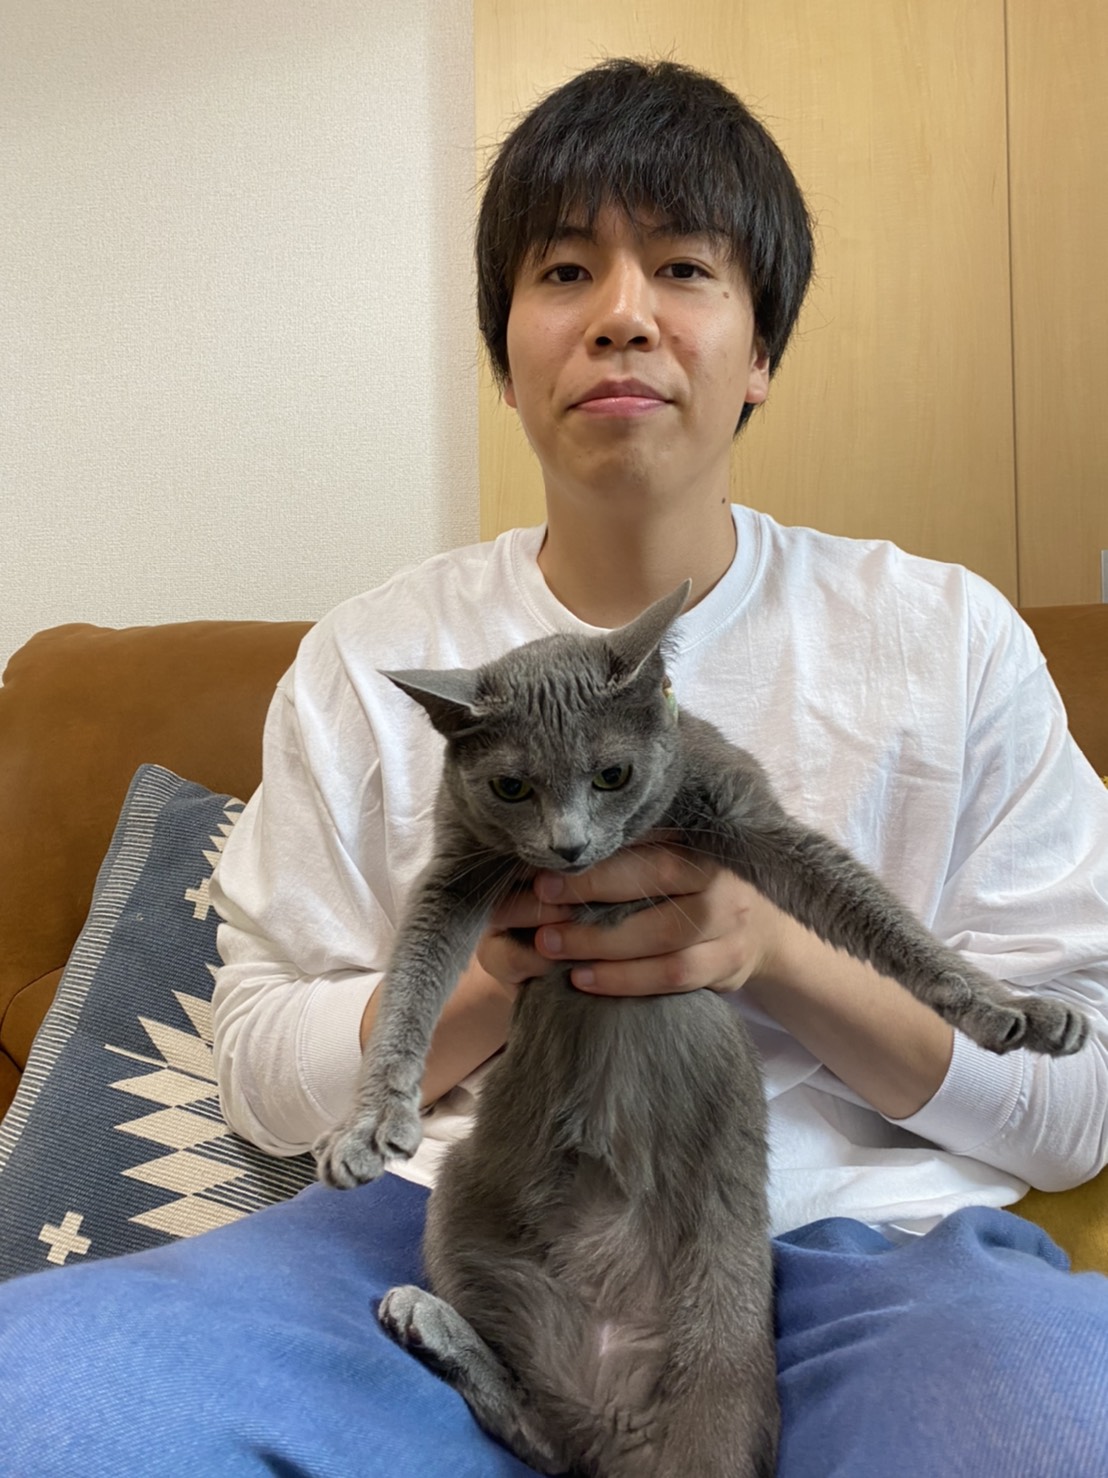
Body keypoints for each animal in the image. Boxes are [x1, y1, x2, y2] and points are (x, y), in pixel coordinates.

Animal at [314, 581, 1088, 1478]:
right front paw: (370, 1122)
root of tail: (615, 1416)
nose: (568, 845)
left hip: (720, 1297)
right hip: (460, 1196)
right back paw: (429, 1320)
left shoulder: (744, 812)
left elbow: (883, 921)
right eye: (511, 788)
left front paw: (1012, 1008)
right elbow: (409, 984)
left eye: (612, 774)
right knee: (543, 1437)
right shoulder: (460, 867)